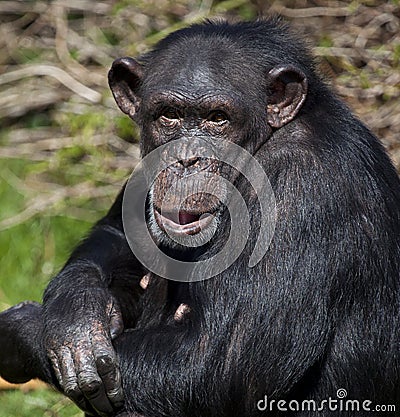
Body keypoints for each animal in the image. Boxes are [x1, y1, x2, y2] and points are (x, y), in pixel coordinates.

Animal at [0, 17, 400, 416]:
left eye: (217, 119)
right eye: (169, 115)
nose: (186, 158)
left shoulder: (298, 185)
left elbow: (212, 366)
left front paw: (21, 328)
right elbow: (116, 231)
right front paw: (76, 317)